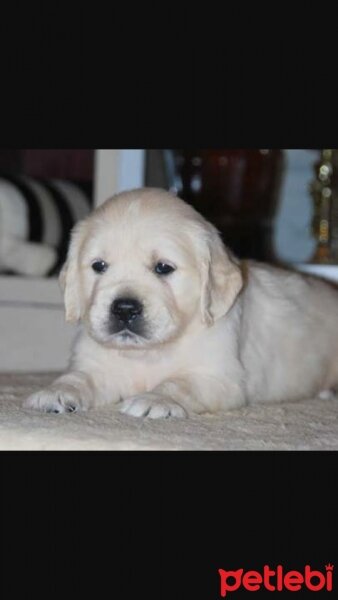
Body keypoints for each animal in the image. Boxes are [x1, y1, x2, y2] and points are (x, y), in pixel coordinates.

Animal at [23, 188, 338, 418]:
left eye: (163, 267)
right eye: (99, 266)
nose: (124, 309)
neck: (150, 353)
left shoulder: (219, 378)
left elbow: (179, 383)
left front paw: (155, 398)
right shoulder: (97, 365)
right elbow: (79, 377)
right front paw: (56, 392)